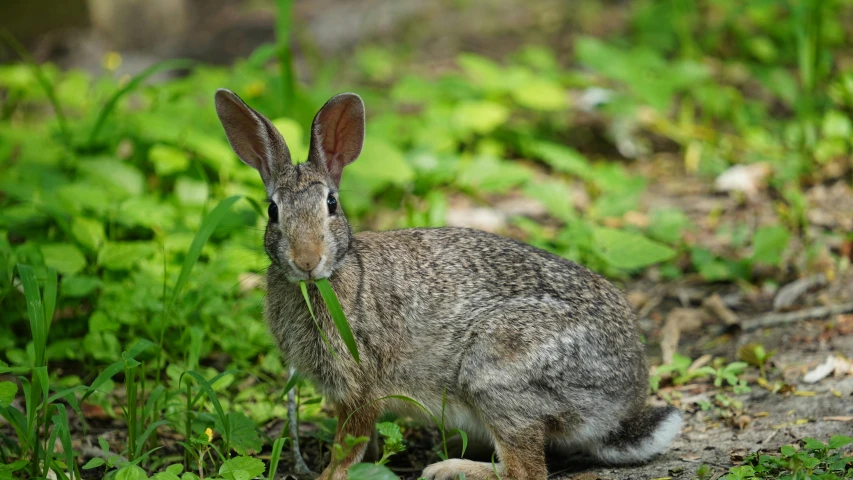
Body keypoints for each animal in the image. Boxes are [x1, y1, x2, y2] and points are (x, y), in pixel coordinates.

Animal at [216, 87, 684, 480]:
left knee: (525, 470)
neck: (331, 279)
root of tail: (621, 402)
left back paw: (448, 469)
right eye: (272, 211)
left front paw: (329, 476)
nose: (307, 260)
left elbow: (348, 446)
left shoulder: (360, 387)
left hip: (496, 371)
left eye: (331, 204)